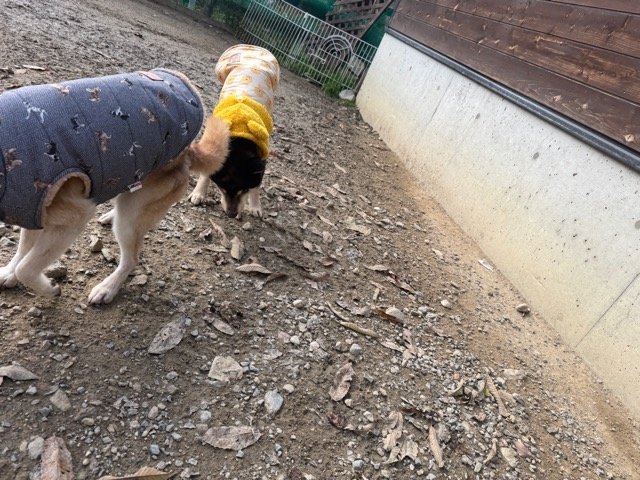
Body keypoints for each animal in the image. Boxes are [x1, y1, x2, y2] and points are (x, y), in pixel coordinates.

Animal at [0, 69, 229, 303]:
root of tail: (189, 152)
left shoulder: (70, 219)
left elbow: (26, 268)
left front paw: (49, 287)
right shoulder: (32, 211)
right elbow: (23, 251)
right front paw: (9, 272)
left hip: (131, 216)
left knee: (131, 259)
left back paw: (107, 288)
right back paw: (110, 215)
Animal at [189, 44, 279, 219]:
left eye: (244, 190)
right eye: (222, 188)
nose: (231, 214)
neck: (239, 139)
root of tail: (256, 47)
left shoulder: (262, 158)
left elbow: (257, 185)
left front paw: (255, 206)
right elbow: (206, 173)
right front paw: (199, 193)